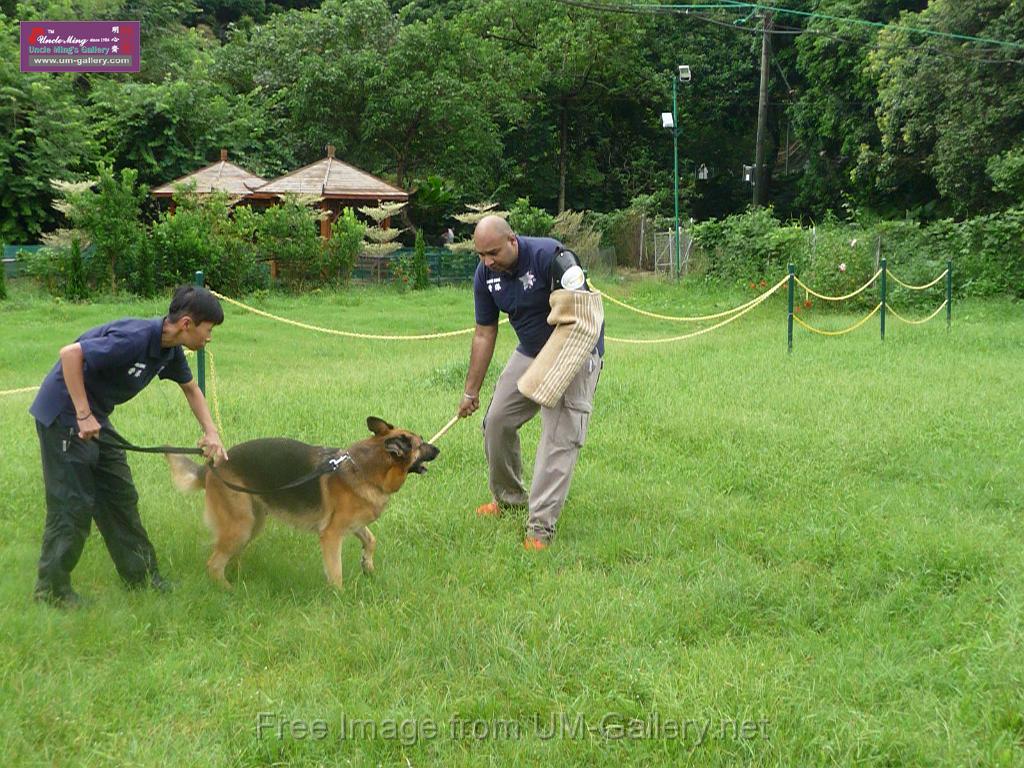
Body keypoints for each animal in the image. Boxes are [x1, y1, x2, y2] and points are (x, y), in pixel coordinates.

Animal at [166, 421, 436, 589]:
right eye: (421, 444)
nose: (438, 449)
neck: (365, 467)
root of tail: (211, 465)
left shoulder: (354, 525)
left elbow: (371, 540)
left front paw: (367, 566)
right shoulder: (331, 535)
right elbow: (335, 572)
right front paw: (340, 597)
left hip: (252, 524)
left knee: (227, 558)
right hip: (240, 526)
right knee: (213, 564)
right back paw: (228, 590)